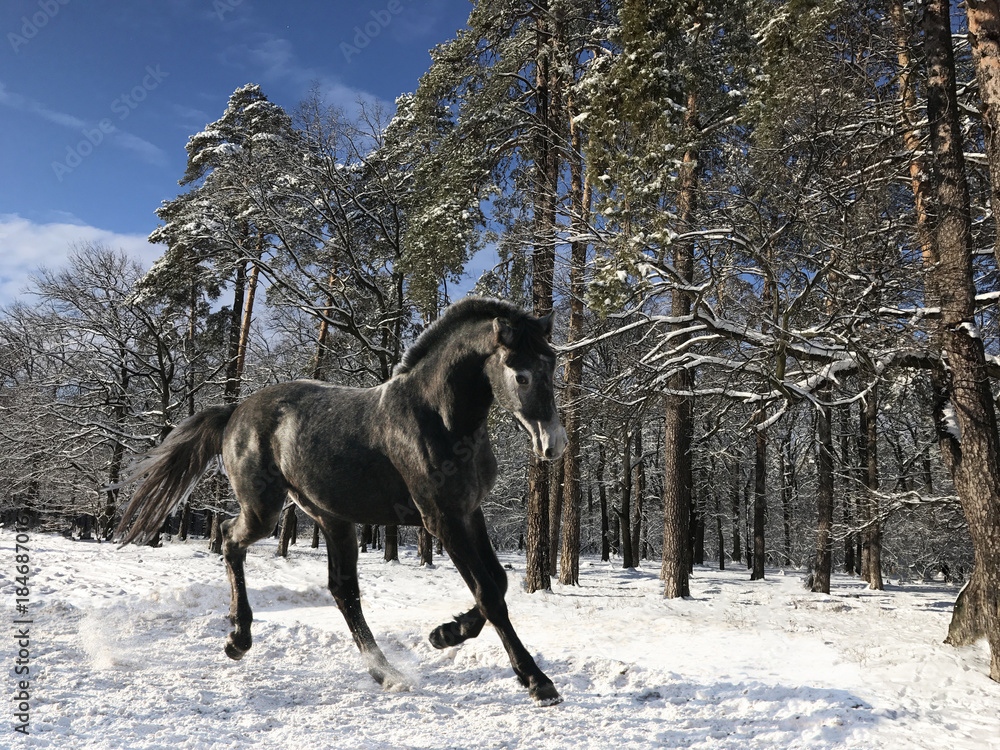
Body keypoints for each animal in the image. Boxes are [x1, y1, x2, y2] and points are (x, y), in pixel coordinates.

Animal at [114, 296, 567, 705]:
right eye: (521, 375)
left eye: (552, 363)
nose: (554, 445)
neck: (439, 419)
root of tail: (235, 412)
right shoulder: (441, 519)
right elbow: (489, 594)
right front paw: (536, 681)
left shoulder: (470, 513)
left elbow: (500, 582)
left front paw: (445, 634)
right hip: (265, 512)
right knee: (229, 537)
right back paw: (238, 639)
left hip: (333, 519)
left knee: (342, 590)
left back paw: (386, 673)